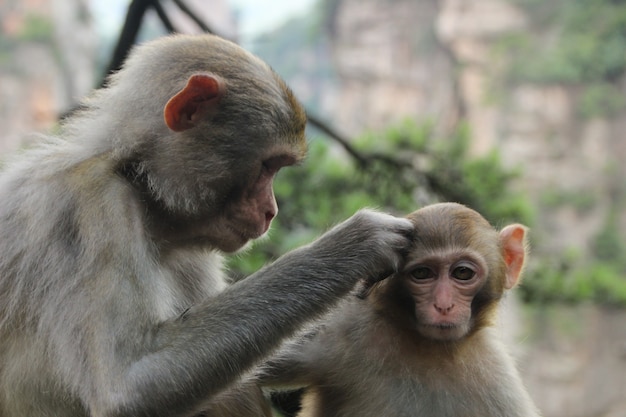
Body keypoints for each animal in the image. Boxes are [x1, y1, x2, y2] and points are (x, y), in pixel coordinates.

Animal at [0, 34, 414, 414]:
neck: (141, 185)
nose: (271, 211)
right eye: (268, 165)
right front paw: (355, 243)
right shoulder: (90, 206)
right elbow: (128, 385)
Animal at [260, 202, 540, 416]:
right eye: (422, 273)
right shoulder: (342, 330)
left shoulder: (500, 384)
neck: (432, 350)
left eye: (462, 273)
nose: (443, 305)